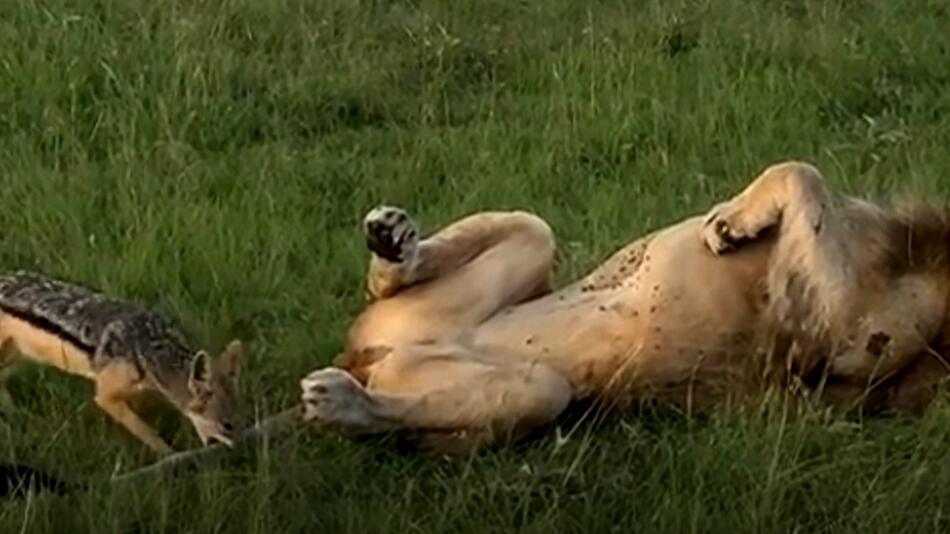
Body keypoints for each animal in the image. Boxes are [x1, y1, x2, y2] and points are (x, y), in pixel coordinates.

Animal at [298, 160, 950, 456]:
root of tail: (364, 357)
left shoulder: (837, 341)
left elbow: (802, 173)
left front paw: (730, 223)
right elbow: (805, 176)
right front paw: (733, 224)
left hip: (540, 390)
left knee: (397, 409)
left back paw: (342, 404)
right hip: (519, 246)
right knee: (400, 278)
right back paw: (392, 240)